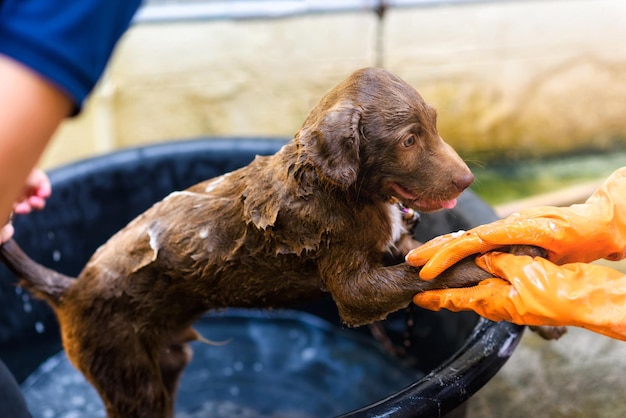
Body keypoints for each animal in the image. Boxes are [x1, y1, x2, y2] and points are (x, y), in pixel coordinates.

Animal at [0, 67, 482, 416]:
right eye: (408, 140)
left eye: (434, 125)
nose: (468, 179)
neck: (341, 189)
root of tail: (71, 289)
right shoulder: (350, 284)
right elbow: (415, 275)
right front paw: (471, 271)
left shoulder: (390, 243)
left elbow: (417, 255)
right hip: (125, 370)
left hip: (167, 360)